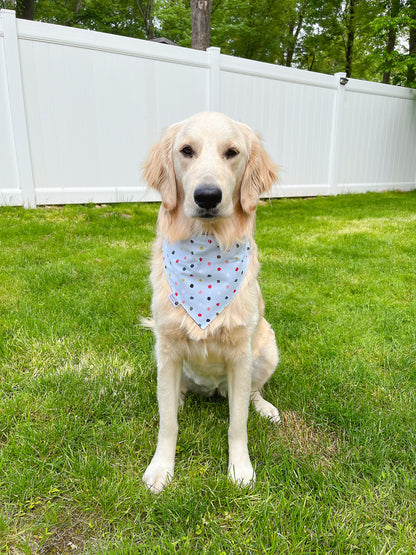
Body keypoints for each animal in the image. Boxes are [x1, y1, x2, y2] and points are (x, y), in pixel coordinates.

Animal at [142, 111, 280, 494]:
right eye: (186, 151)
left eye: (232, 152)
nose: (206, 196)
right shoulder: (168, 349)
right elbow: (167, 423)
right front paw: (161, 468)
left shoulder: (240, 355)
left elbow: (237, 423)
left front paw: (240, 469)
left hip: (267, 349)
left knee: (252, 393)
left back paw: (265, 408)